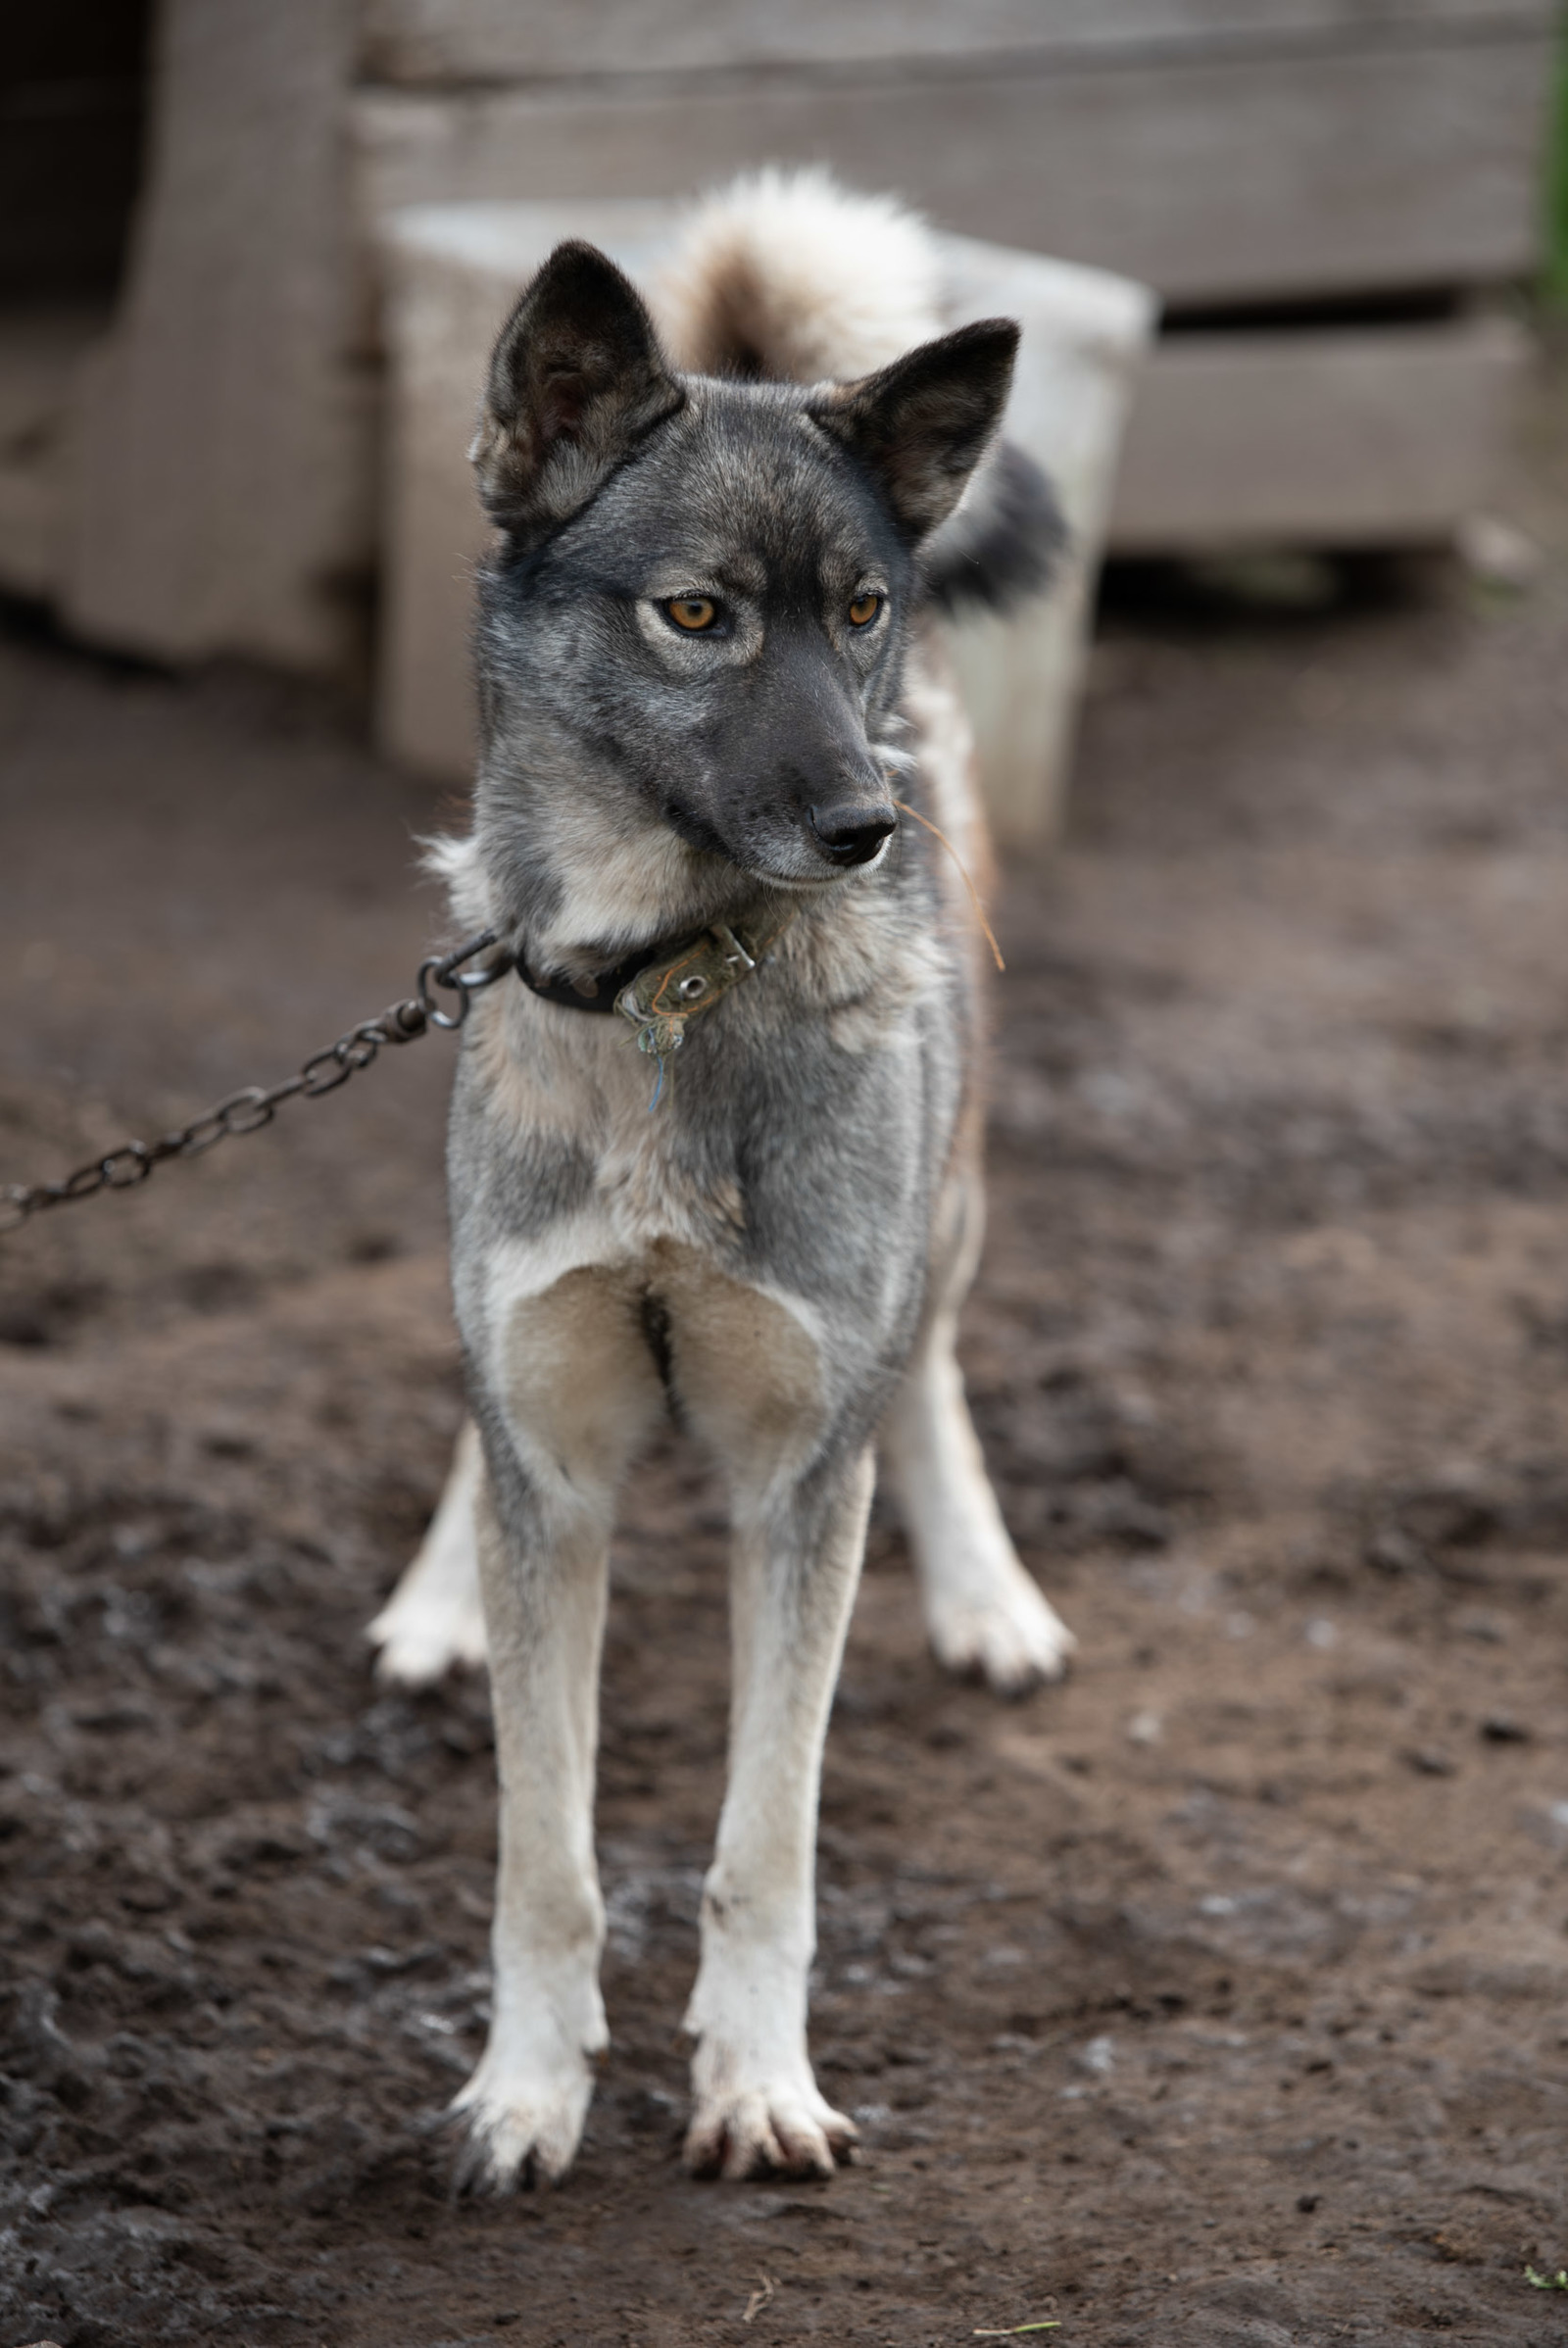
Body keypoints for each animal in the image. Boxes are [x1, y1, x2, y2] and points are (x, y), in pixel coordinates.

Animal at [368, 173, 1079, 2188]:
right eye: (696, 614)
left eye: (857, 611)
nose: (868, 830)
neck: (665, 990)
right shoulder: (555, 1442)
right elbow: (545, 1856)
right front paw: (525, 2092)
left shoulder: (797, 1485)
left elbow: (767, 1846)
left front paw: (758, 2083)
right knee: (466, 1414)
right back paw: (436, 1598)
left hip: (954, 1193)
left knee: (929, 1369)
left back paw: (986, 1593)